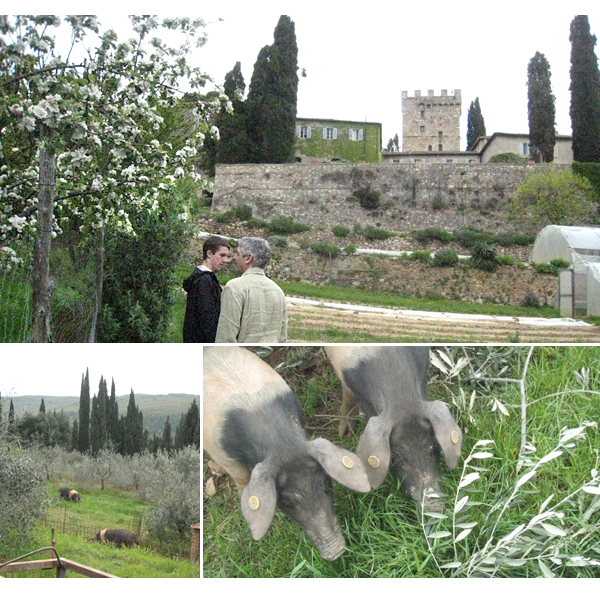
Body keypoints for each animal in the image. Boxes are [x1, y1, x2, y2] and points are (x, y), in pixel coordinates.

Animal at [203, 342, 370, 560]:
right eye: (287, 501)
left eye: (326, 485)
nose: (337, 552)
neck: (279, 439)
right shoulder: (220, 452)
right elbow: (241, 477)